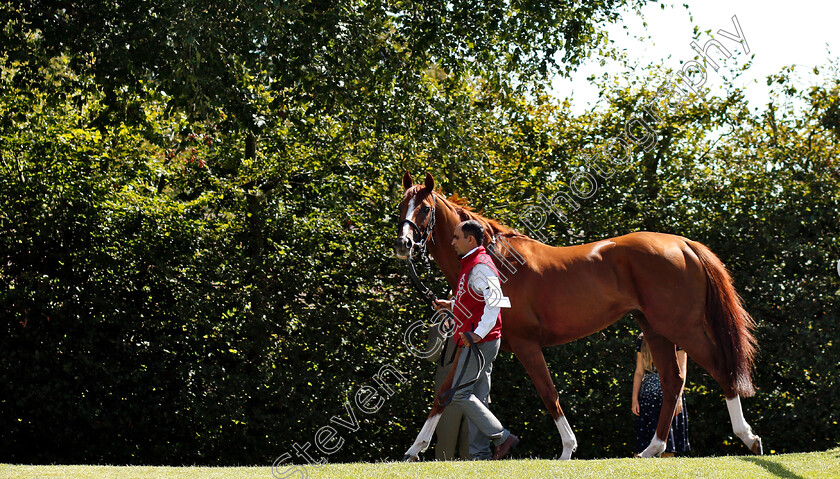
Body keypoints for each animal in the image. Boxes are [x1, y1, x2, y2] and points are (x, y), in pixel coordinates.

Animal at [394, 173, 760, 462]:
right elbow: (443, 395)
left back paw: (748, 437)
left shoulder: (525, 345)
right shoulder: (472, 341)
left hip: (683, 327)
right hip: (655, 329)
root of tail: (683, 243)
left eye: (424, 209)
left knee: (721, 368)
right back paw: (651, 449)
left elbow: (549, 394)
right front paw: (413, 450)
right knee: (673, 382)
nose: (403, 244)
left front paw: (568, 448)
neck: (496, 260)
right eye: (400, 206)